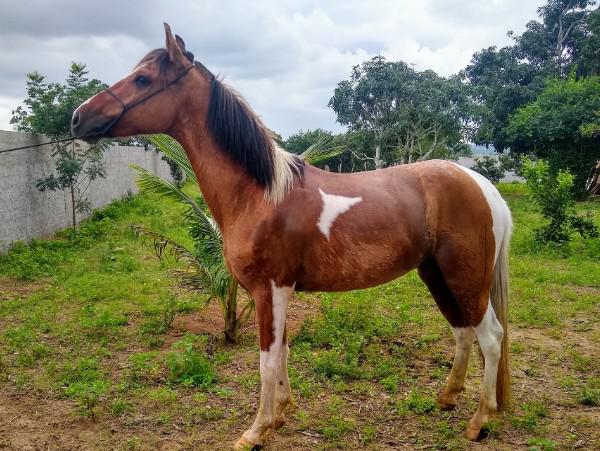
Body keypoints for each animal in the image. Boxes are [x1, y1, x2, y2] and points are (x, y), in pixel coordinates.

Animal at [70, 25, 510, 451]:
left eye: (143, 79)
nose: (78, 118)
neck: (261, 194)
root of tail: (482, 185)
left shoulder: (270, 288)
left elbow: (267, 358)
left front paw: (256, 430)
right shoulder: (273, 292)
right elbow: (281, 351)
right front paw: (280, 413)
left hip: (466, 278)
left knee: (490, 338)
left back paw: (480, 421)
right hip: (436, 275)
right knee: (462, 331)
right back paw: (446, 398)